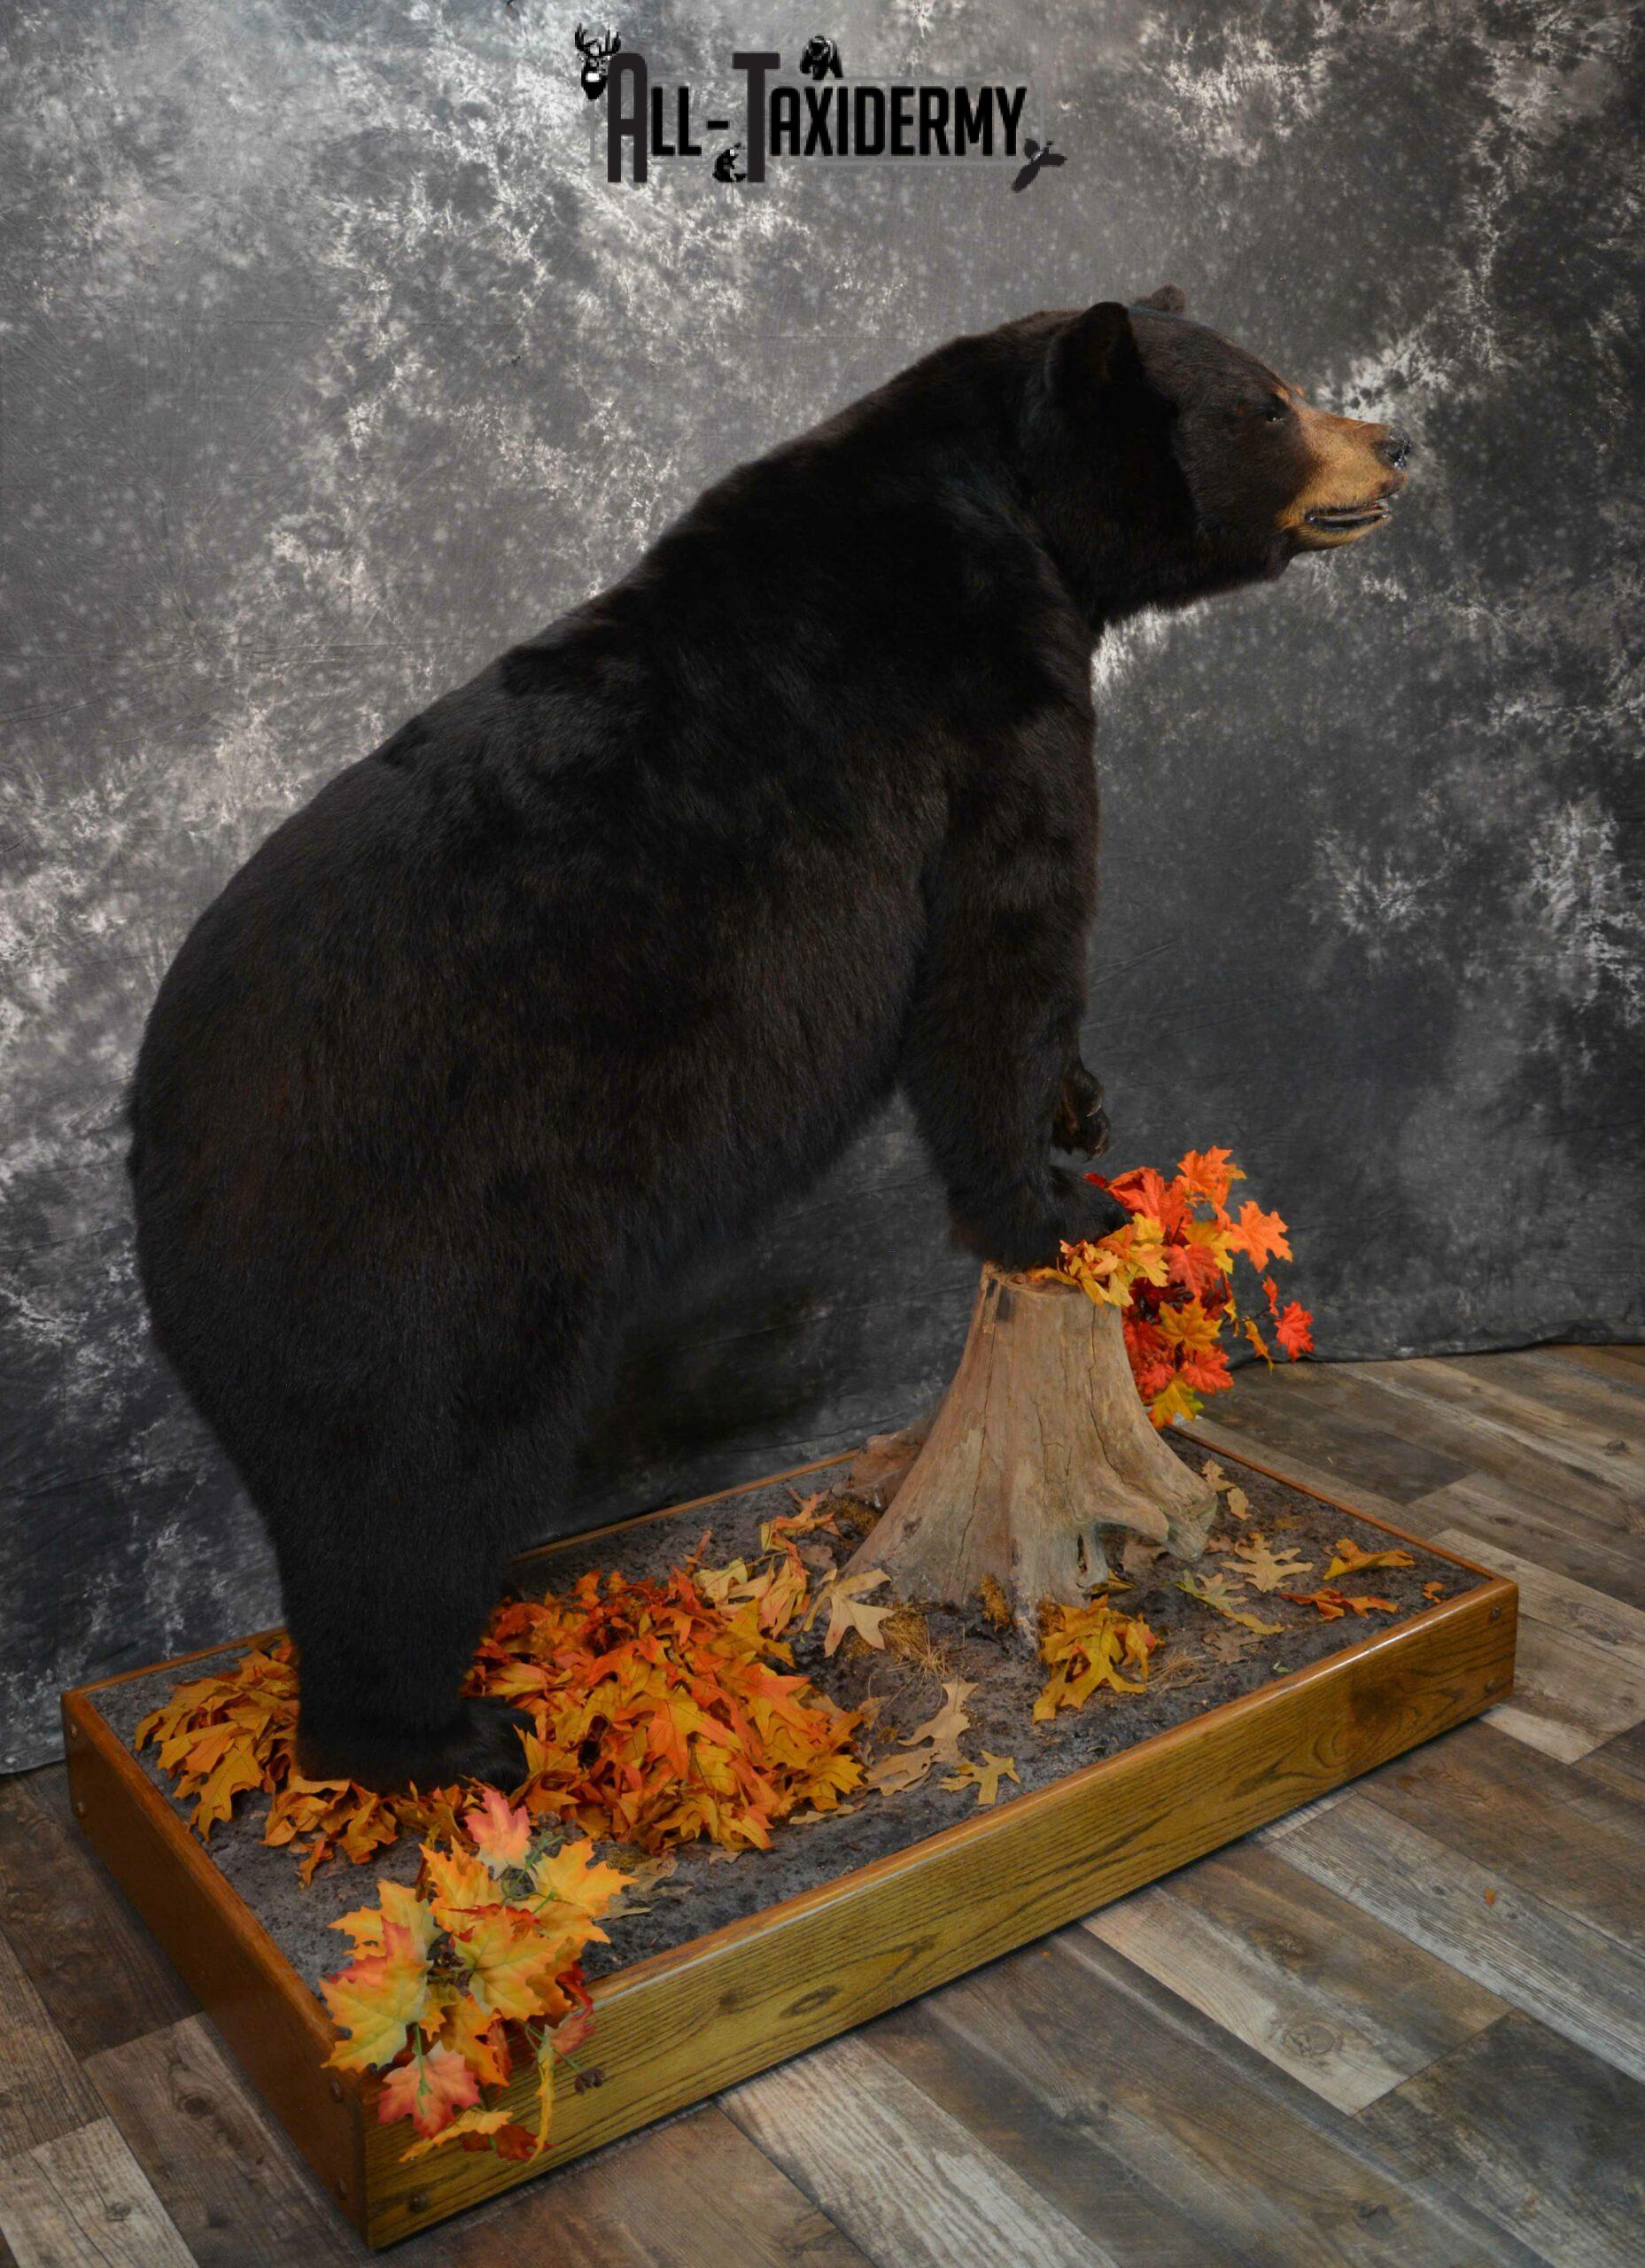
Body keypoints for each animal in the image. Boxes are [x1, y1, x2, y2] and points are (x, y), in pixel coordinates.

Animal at [128, 289, 1408, 1791]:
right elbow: (1001, 951)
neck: (1008, 509)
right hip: (414, 1243)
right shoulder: (987, 717)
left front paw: (1082, 1114)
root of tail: (151, 1149)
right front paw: (1058, 1209)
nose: (1393, 442)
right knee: (413, 1487)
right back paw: (445, 1739)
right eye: (1267, 402)